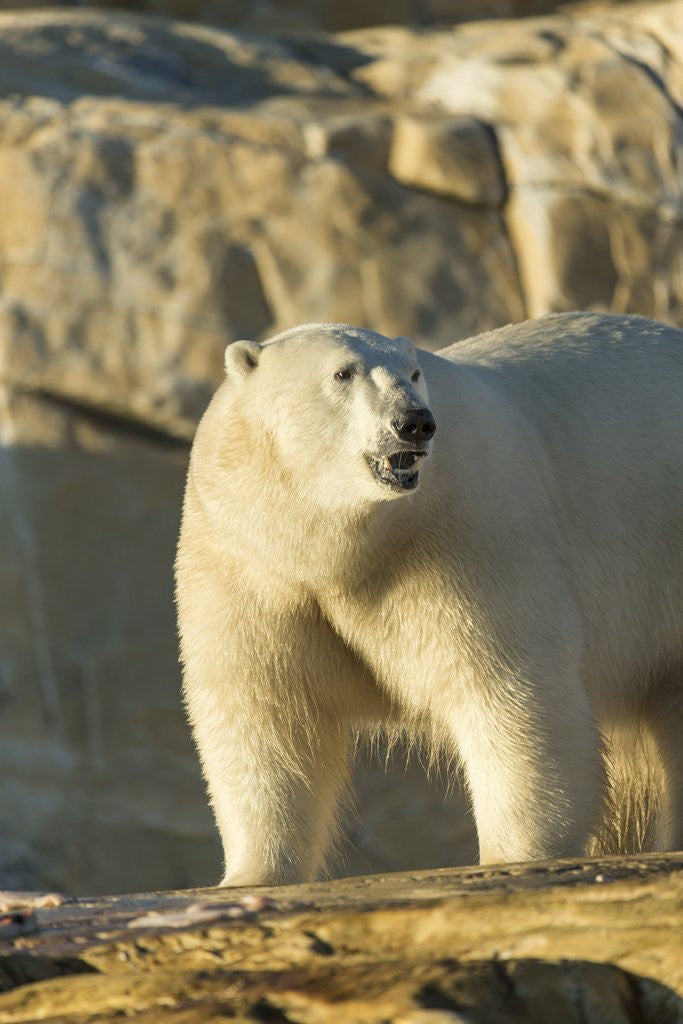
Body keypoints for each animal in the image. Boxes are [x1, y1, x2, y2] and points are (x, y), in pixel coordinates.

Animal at [178, 313, 683, 888]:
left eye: (414, 373)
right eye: (344, 372)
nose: (414, 422)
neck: (342, 546)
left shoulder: (463, 531)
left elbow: (509, 689)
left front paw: (513, 854)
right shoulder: (248, 559)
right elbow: (265, 711)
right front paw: (252, 875)